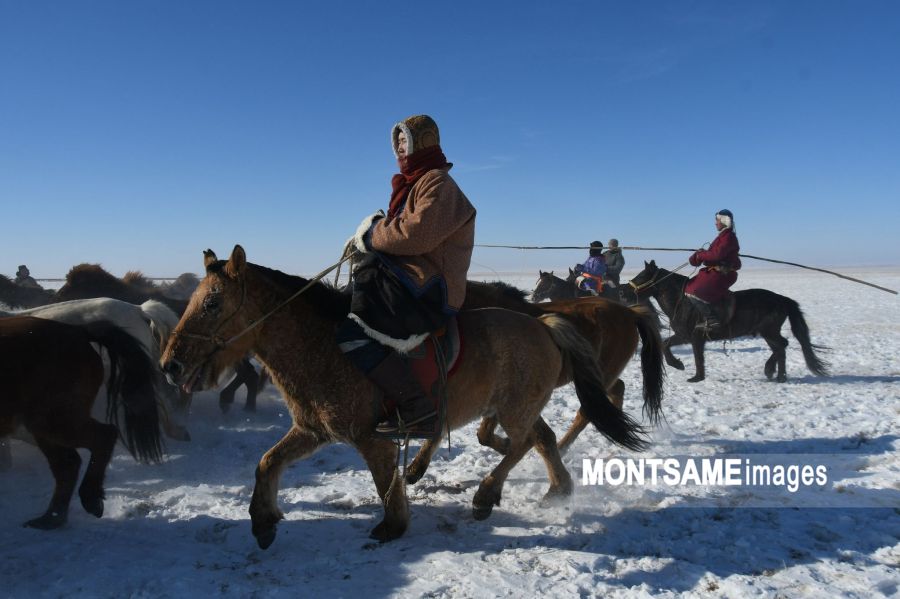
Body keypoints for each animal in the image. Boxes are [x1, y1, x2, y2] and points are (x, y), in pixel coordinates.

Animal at [0, 316, 164, 529]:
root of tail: (78, 331)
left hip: (54, 420)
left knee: (104, 436)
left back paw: (90, 498)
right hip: (45, 426)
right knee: (68, 465)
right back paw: (51, 519)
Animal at [402, 280, 665, 485]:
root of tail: (631, 312)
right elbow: (483, 433)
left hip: (597, 377)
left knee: (588, 411)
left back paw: (566, 446)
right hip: (598, 377)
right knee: (617, 389)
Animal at [623, 260, 829, 383]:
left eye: (641, 276)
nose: (624, 293)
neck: (681, 301)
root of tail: (782, 299)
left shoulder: (693, 337)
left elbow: (697, 356)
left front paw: (695, 376)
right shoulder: (683, 335)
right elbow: (666, 344)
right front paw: (679, 365)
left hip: (768, 331)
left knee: (781, 346)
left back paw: (776, 374)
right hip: (767, 332)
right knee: (780, 347)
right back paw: (775, 374)